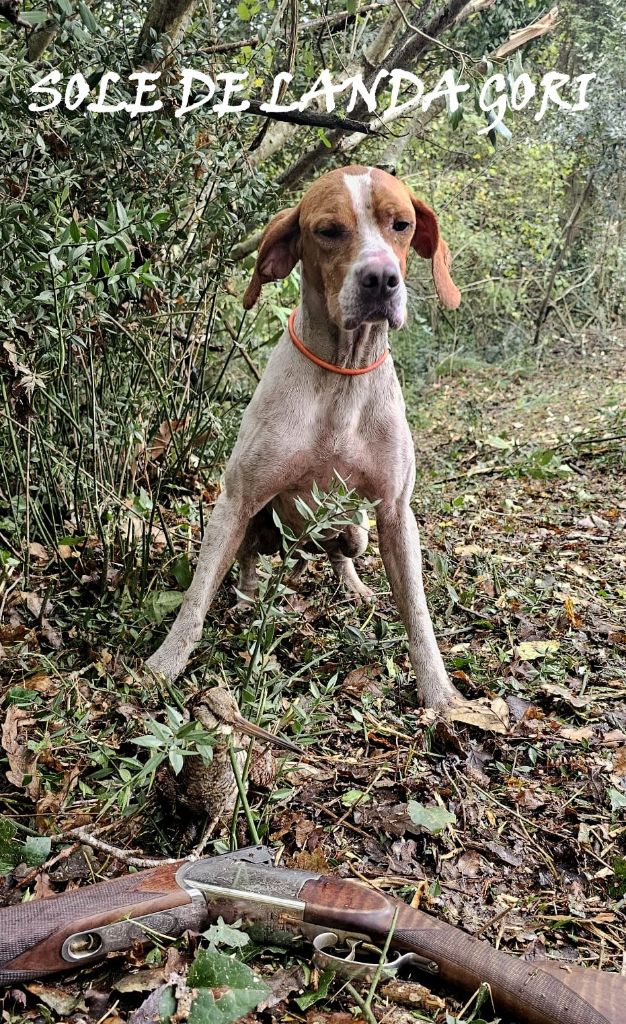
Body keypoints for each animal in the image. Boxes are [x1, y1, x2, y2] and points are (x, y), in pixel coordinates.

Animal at [149, 167, 465, 712]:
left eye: (401, 225)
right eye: (328, 231)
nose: (381, 278)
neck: (342, 371)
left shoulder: (395, 512)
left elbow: (418, 613)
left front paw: (439, 690)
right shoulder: (236, 498)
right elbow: (197, 594)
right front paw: (165, 663)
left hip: (358, 529)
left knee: (342, 551)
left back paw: (353, 586)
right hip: (255, 518)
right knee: (250, 557)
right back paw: (250, 595)